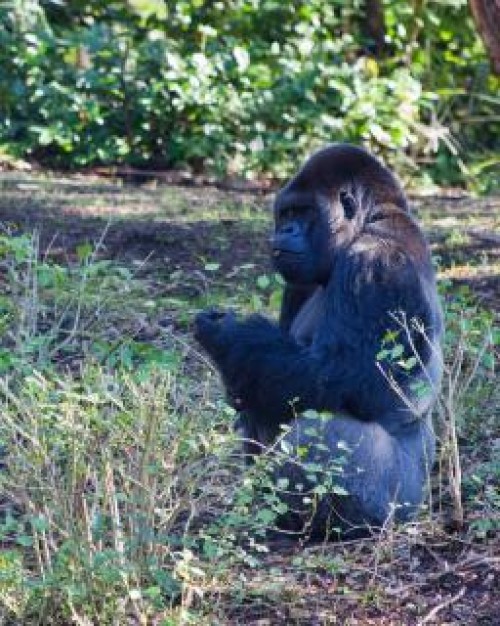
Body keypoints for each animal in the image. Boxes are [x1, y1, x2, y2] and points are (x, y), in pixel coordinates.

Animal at [193, 145, 444, 536]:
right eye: (286, 213)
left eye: (304, 212)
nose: (286, 229)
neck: (371, 219)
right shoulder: (298, 281)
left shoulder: (378, 264)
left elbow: (342, 378)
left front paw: (227, 334)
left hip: (401, 503)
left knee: (320, 430)